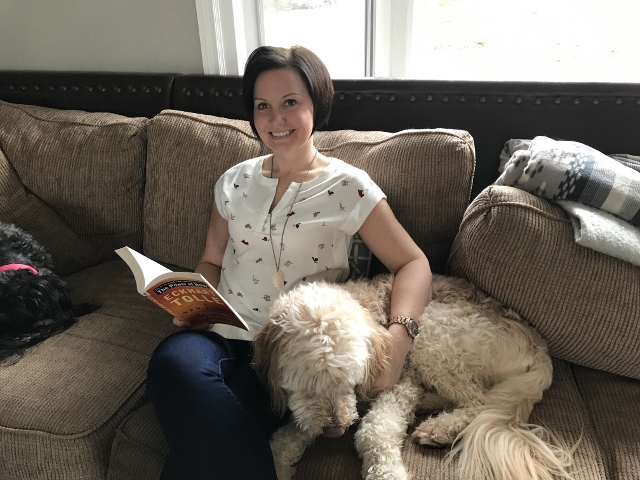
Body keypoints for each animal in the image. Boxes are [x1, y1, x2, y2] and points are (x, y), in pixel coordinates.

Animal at [251, 276, 576, 480]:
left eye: (350, 380)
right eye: (307, 386)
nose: (335, 430)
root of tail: (539, 345)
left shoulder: (399, 381)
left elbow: (375, 431)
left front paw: (387, 472)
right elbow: (283, 440)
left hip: (433, 330)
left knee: (479, 402)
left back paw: (439, 428)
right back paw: (428, 406)